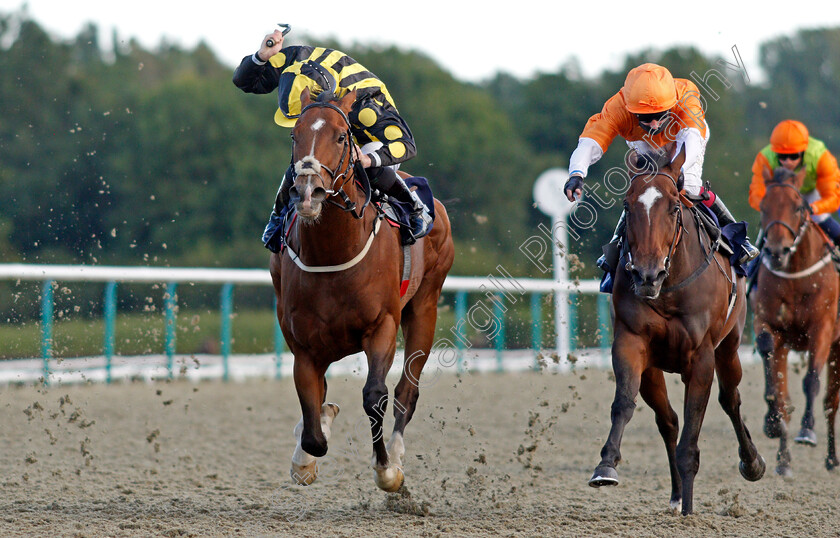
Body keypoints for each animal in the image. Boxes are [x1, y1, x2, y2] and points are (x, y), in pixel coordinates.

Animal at [270, 87, 456, 490]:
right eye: (294, 136)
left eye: (342, 137)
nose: (307, 193)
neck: (333, 252)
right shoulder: (303, 344)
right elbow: (312, 416)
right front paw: (306, 455)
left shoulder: (382, 325)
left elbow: (374, 396)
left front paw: (386, 469)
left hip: (425, 306)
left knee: (406, 390)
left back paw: (397, 453)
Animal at [588, 143, 764, 516]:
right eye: (627, 205)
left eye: (673, 207)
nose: (646, 274)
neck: (668, 288)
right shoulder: (631, 343)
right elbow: (623, 403)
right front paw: (606, 465)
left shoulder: (701, 359)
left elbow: (692, 438)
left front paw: (690, 513)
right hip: (654, 370)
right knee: (667, 420)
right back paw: (675, 494)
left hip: (730, 348)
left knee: (731, 399)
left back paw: (752, 462)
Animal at [752, 164, 840, 474]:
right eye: (763, 206)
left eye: (798, 207)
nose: (776, 252)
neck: (795, 276)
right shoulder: (769, 323)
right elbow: (767, 351)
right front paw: (771, 420)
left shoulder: (822, 328)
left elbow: (811, 380)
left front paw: (807, 431)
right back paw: (783, 460)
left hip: (838, 348)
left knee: (831, 402)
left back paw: (831, 458)